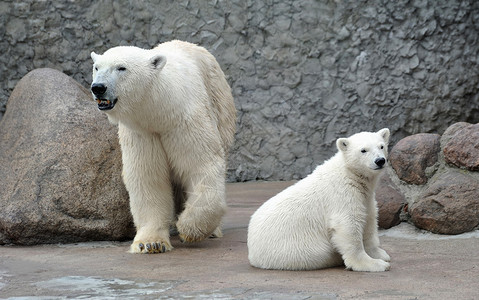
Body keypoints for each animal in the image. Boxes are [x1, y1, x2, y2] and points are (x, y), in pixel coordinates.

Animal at [89, 39, 236, 253]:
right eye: (97, 67)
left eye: (121, 68)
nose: (98, 87)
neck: (159, 111)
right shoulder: (142, 133)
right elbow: (148, 176)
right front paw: (151, 243)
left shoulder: (184, 120)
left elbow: (200, 165)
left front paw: (189, 228)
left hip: (219, 103)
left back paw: (211, 230)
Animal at [249, 129, 392, 272]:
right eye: (363, 150)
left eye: (381, 146)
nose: (380, 160)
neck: (349, 174)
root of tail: (252, 253)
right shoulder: (341, 195)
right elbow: (348, 225)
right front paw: (374, 264)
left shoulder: (366, 198)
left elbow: (369, 221)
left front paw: (380, 254)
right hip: (294, 249)